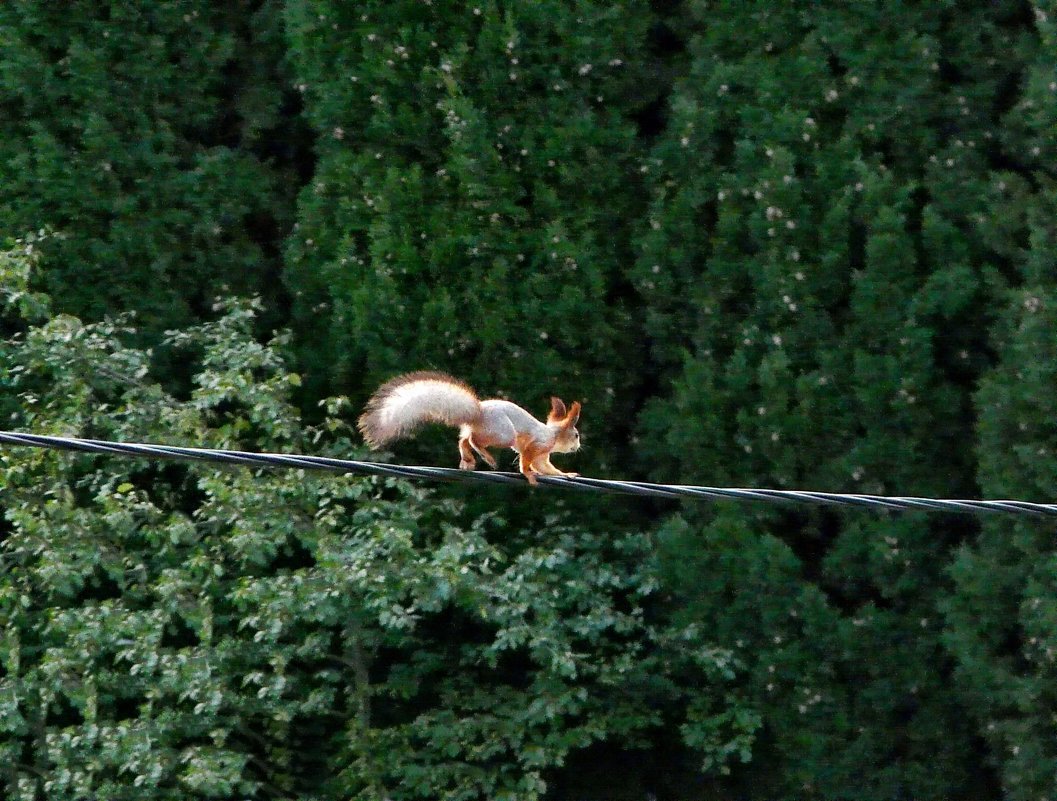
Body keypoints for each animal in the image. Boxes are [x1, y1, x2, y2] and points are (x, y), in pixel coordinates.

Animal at [359, 371, 583, 490]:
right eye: (576, 435)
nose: (578, 446)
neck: (552, 434)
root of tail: (478, 412)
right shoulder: (539, 444)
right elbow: (528, 461)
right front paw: (528, 474)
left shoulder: (543, 455)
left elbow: (545, 467)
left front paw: (567, 474)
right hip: (504, 433)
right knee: (474, 439)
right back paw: (486, 457)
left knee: (464, 439)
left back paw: (468, 459)